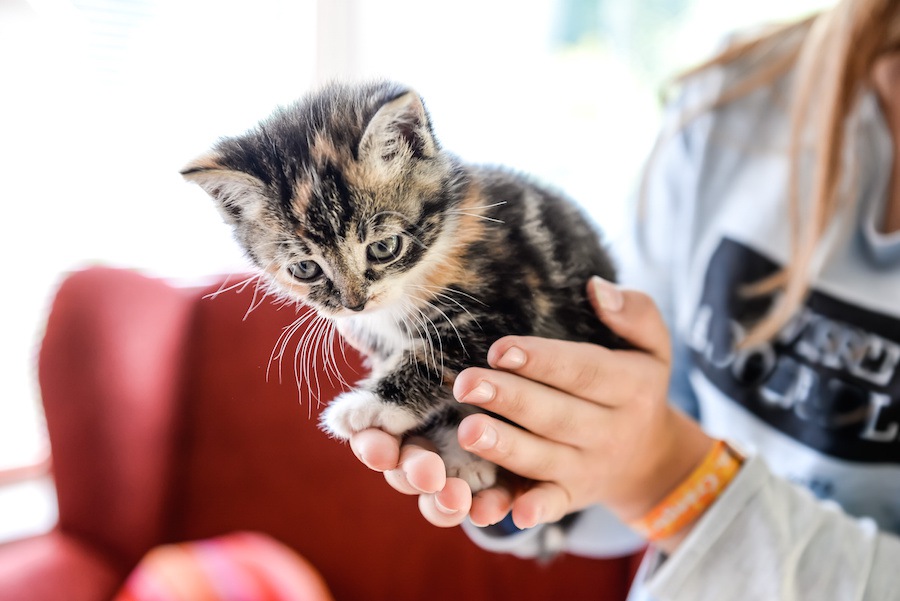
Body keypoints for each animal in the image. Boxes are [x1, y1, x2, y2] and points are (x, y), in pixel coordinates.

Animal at [180, 81, 624, 492]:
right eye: (306, 268)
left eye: (383, 248)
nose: (355, 304)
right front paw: (461, 453)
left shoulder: (507, 302)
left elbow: (441, 357)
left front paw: (370, 407)